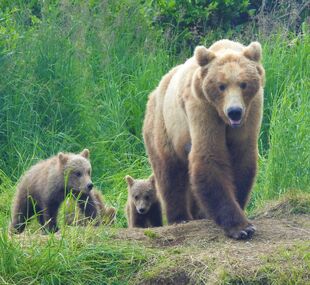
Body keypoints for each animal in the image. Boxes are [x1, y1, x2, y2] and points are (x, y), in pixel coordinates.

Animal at [142, 38, 264, 239]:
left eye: (243, 84)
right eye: (221, 86)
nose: (234, 111)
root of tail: (155, 91)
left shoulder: (251, 111)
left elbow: (241, 158)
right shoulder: (202, 106)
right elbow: (209, 154)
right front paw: (241, 227)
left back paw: (198, 214)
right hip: (164, 127)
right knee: (170, 175)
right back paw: (180, 217)